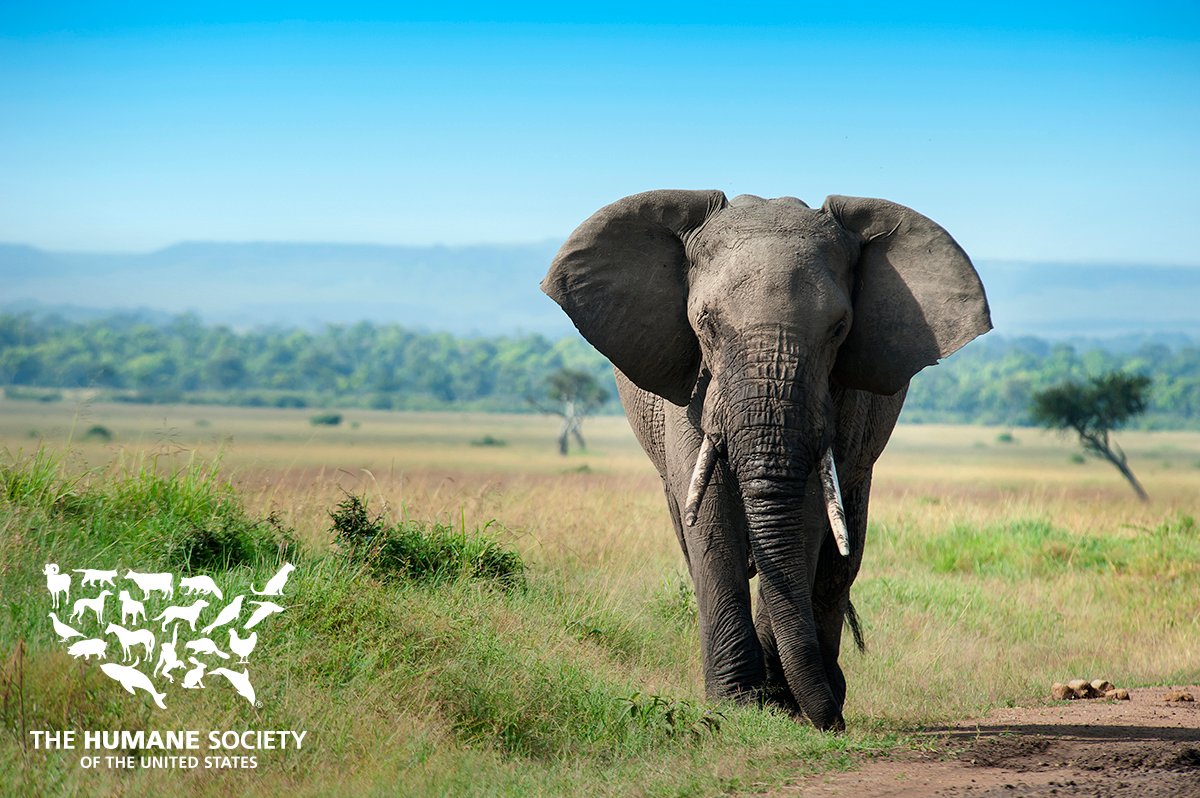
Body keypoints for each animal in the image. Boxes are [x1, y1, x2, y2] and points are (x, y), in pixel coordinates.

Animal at [541, 190, 990, 730]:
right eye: (705, 323)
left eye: (839, 329)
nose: (835, 727)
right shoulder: (691, 385)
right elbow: (709, 514)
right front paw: (736, 704)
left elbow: (809, 515)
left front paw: (781, 707)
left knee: (843, 554)